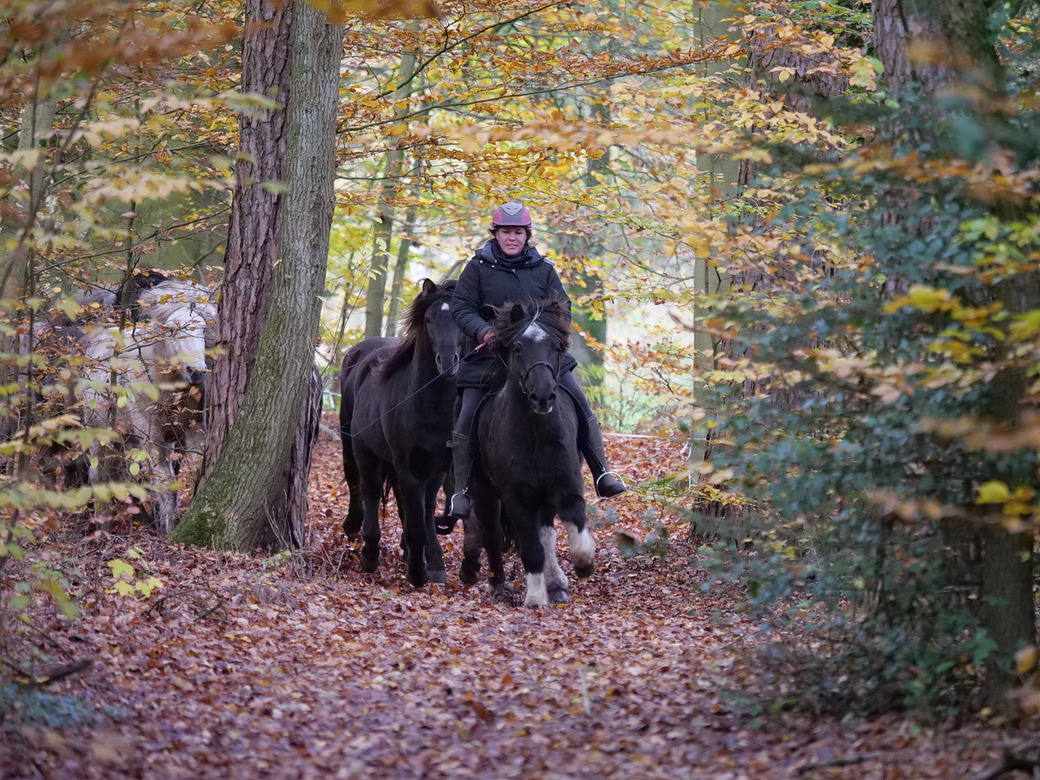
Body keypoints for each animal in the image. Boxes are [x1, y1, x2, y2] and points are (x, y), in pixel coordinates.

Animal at [80, 278, 215, 536]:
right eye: (172, 330)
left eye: (203, 330)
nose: (197, 372)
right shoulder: (152, 437)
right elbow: (165, 482)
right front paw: (171, 528)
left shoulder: (195, 431)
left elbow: (192, 471)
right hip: (98, 433)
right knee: (98, 475)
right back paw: (102, 527)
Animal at [339, 278, 461, 586]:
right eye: (428, 320)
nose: (448, 362)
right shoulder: (407, 468)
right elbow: (415, 521)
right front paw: (417, 572)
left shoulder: (436, 468)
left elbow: (425, 514)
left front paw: (434, 564)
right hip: (359, 448)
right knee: (364, 488)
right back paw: (366, 545)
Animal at [461, 299, 599, 611]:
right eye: (517, 348)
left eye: (556, 347)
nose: (543, 396)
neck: (536, 434)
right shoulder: (516, 497)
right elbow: (530, 548)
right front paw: (535, 599)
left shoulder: (567, 485)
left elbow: (573, 523)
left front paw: (583, 565)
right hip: (483, 491)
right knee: (492, 533)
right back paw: (498, 584)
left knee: (547, 532)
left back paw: (556, 584)